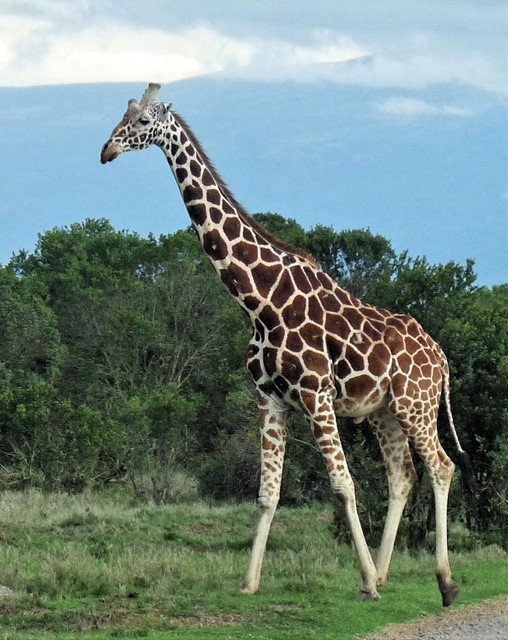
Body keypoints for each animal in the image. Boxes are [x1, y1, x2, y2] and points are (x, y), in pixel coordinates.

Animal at [101, 83, 473, 606]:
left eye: (141, 122)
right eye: (122, 115)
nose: (106, 151)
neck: (260, 301)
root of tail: (441, 360)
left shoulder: (316, 394)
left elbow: (342, 484)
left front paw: (364, 584)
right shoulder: (269, 397)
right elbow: (268, 492)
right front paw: (249, 582)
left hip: (415, 404)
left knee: (441, 466)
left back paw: (443, 582)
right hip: (383, 410)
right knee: (402, 476)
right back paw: (383, 573)